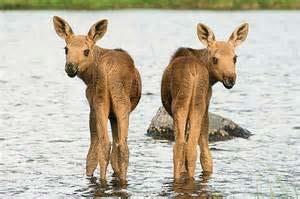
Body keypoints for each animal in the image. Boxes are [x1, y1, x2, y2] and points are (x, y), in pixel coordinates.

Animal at [53, 16, 142, 183]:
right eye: (66, 49)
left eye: (86, 51)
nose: (70, 67)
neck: (87, 77)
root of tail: (108, 70)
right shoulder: (99, 109)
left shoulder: (99, 109)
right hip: (116, 103)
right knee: (116, 145)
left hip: (105, 103)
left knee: (111, 145)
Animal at [161, 22, 250, 180]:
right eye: (215, 58)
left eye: (235, 58)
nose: (230, 79)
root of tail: (194, 71)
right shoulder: (205, 103)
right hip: (197, 104)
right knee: (191, 147)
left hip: (181, 105)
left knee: (181, 146)